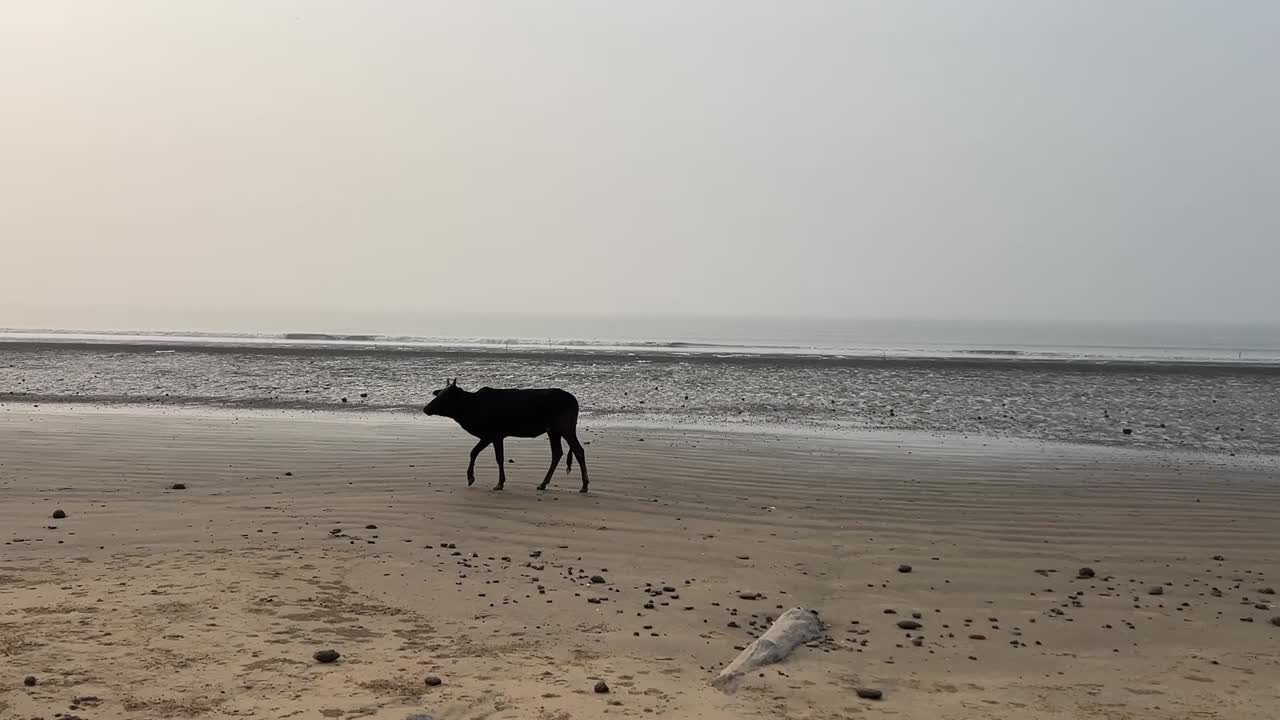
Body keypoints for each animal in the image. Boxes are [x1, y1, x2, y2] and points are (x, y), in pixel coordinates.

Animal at [423, 379, 590, 492]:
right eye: (439, 394)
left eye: (445, 397)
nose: (426, 408)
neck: (471, 406)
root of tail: (573, 399)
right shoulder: (495, 436)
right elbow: (488, 455)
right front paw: (495, 481)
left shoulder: (492, 434)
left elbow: (485, 455)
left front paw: (479, 479)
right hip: (553, 431)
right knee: (557, 453)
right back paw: (543, 484)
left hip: (566, 429)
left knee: (578, 451)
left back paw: (584, 485)